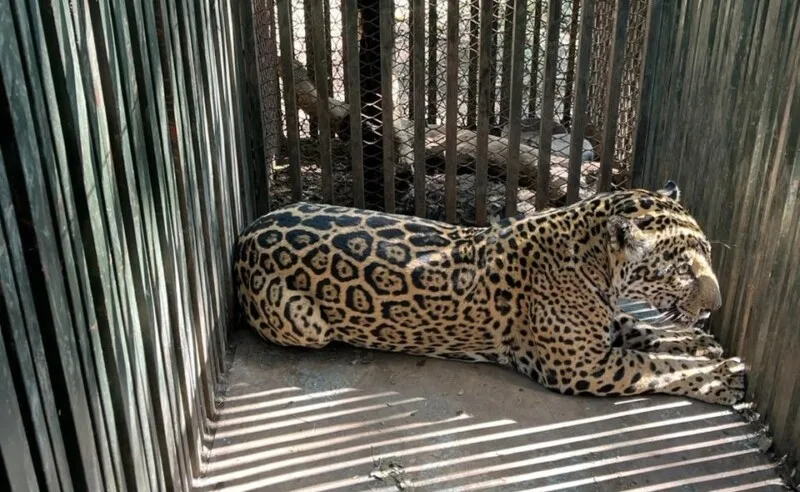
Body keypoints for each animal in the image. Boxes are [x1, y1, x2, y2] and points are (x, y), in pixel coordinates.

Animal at [233, 181, 745, 406]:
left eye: (706, 253)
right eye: (682, 268)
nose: (717, 306)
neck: (595, 264)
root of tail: (247, 231)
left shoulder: (602, 328)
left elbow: (645, 331)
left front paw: (702, 343)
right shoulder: (583, 367)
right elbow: (657, 367)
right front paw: (722, 379)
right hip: (307, 325)